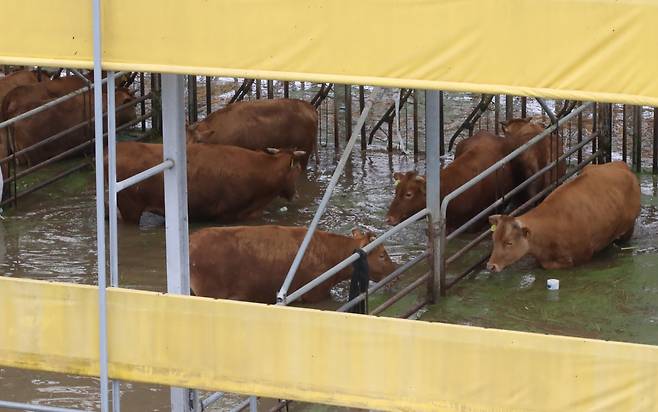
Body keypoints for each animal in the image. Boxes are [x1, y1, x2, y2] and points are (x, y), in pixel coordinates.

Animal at [484, 162, 640, 274]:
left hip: (628, 229)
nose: (491, 266)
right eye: (494, 239)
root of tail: (622, 165)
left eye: (509, 243)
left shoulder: (581, 256)